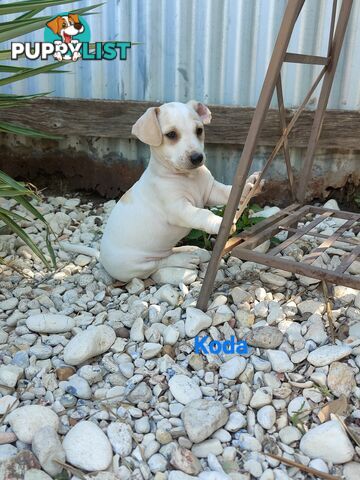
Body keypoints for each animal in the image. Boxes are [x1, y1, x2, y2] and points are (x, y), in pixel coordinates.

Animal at [100, 101, 260, 282]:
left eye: (199, 130)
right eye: (171, 134)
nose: (197, 158)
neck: (188, 177)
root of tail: (102, 257)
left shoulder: (211, 191)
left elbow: (228, 191)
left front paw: (249, 185)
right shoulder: (178, 208)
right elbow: (201, 213)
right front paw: (217, 223)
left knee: (168, 253)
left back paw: (190, 249)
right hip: (137, 265)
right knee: (159, 263)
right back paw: (185, 258)